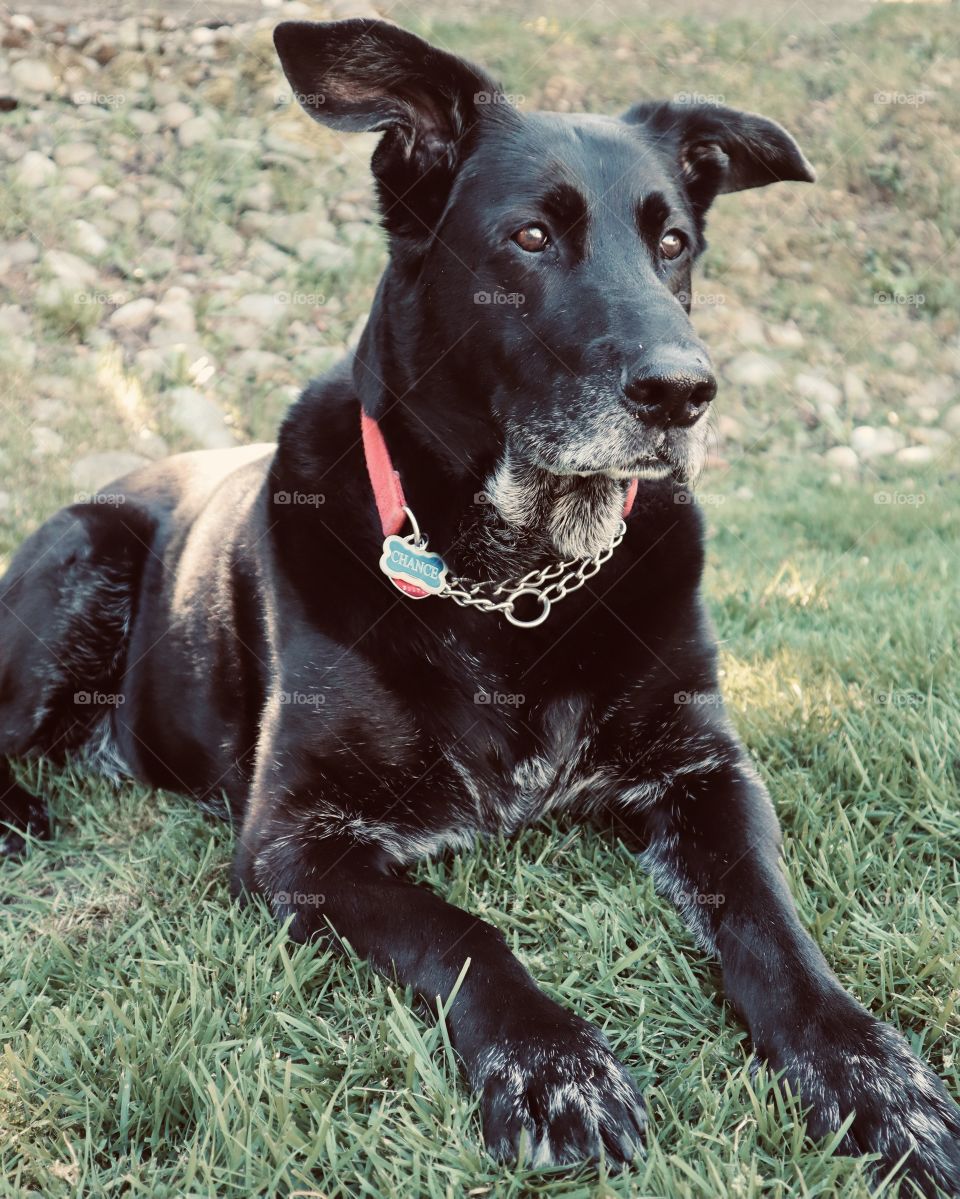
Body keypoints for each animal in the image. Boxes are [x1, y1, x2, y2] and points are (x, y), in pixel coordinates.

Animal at [1, 23, 958, 1194]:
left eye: (674, 243)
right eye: (531, 237)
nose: (686, 393)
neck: (517, 581)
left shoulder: (707, 771)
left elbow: (775, 927)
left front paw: (872, 1075)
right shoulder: (295, 841)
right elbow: (465, 934)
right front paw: (555, 1066)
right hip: (85, 551)